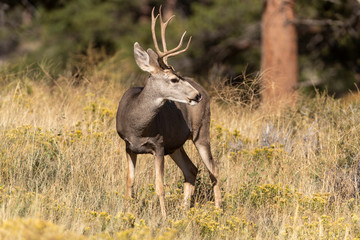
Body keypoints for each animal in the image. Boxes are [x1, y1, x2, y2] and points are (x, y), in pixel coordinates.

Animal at [116, 7, 221, 218]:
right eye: (173, 79)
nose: (196, 95)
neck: (138, 126)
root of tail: (204, 89)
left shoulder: (158, 145)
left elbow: (159, 186)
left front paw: (164, 217)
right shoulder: (128, 146)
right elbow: (130, 182)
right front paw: (127, 213)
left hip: (201, 132)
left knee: (213, 169)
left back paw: (219, 209)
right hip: (175, 145)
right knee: (191, 169)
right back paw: (184, 210)